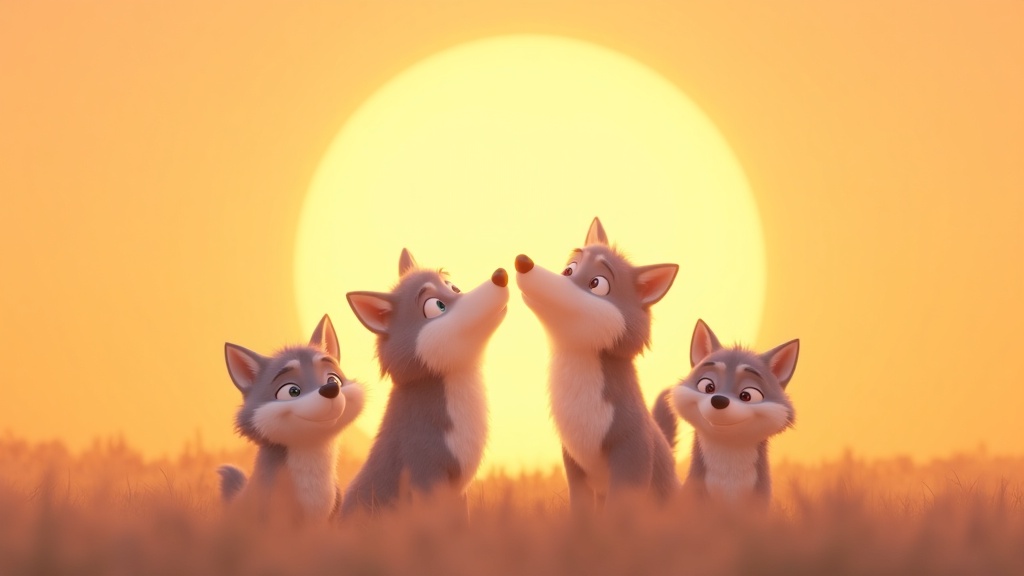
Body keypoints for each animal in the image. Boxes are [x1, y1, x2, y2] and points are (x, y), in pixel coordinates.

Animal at [514, 217, 680, 512]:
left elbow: (617, 511)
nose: (523, 261)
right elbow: (580, 509)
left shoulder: (631, 455)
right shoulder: (572, 459)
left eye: (597, 283)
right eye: (569, 269)